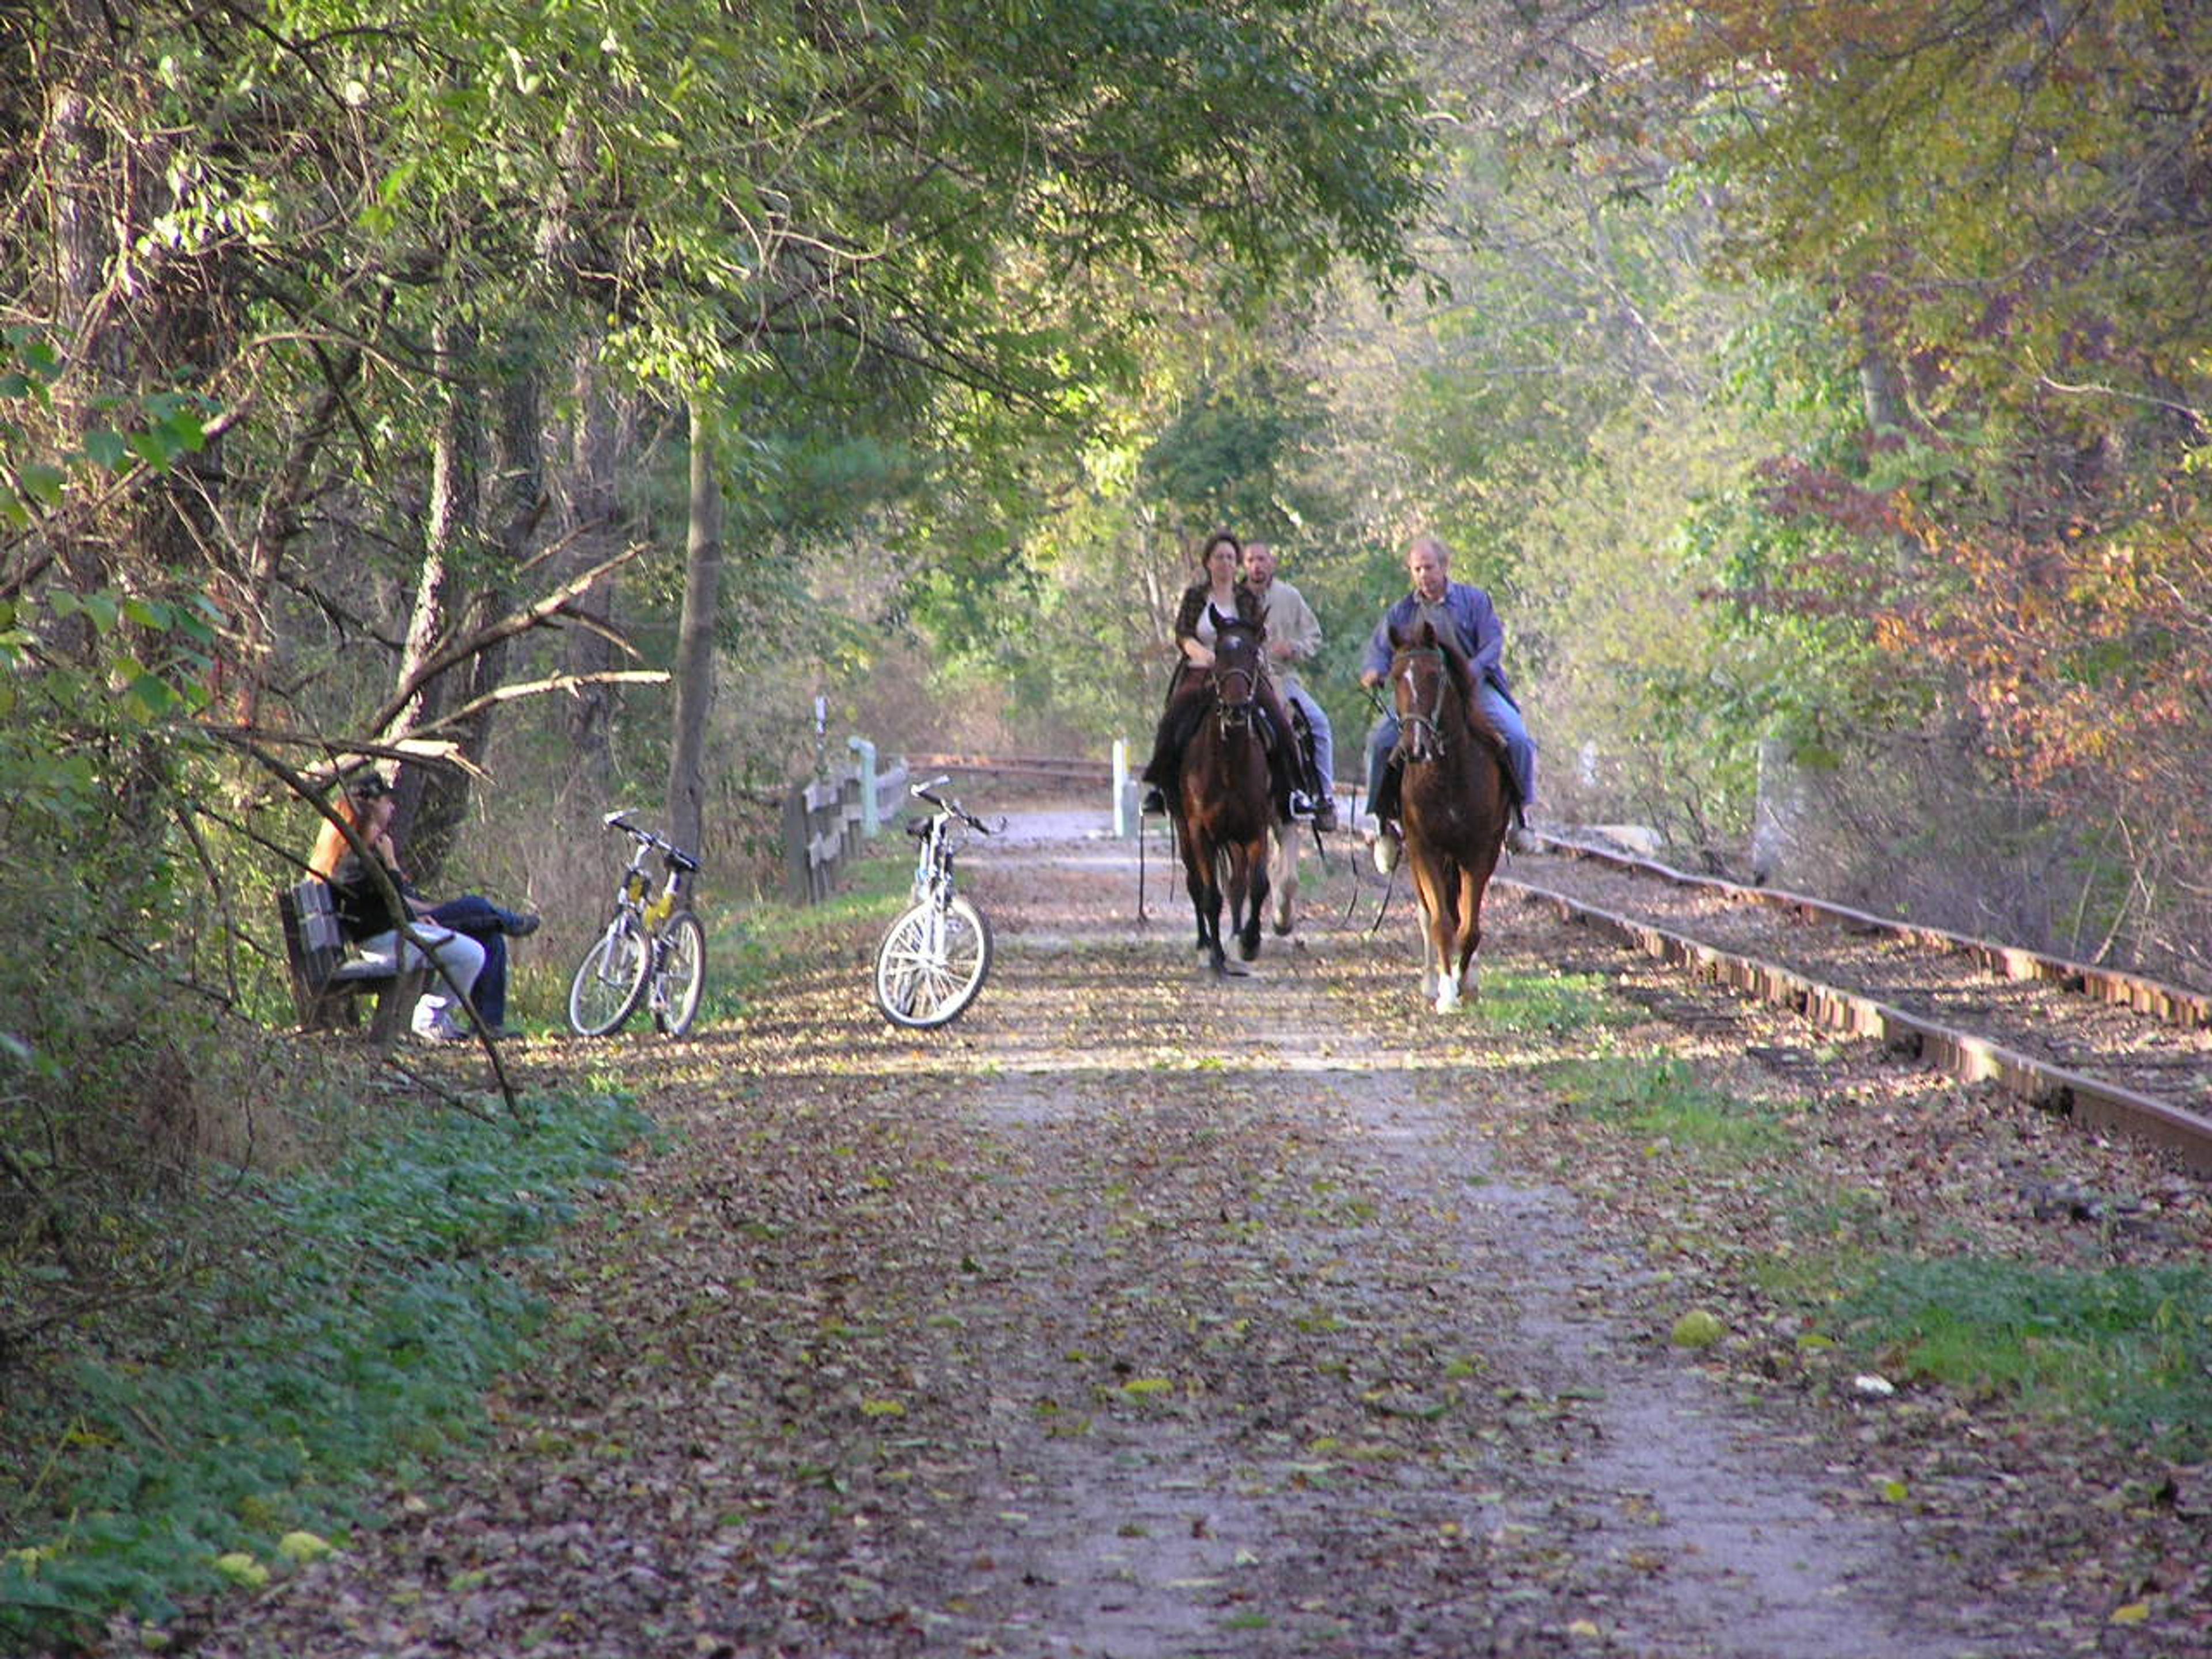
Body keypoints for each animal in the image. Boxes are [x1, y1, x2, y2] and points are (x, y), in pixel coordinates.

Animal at [1176, 610, 1283, 973]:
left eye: (1253, 652)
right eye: (1219, 653)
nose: (1236, 710)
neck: (1228, 765)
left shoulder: (1255, 829)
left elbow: (1258, 885)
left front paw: (1249, 942)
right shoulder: (1200, 832)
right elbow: (1210, 894)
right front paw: (1217, 957)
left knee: (1237, 883)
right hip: (1184, 833)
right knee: (1196, 885)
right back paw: (1203, 945)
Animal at [1389, 623, 1513, 1013]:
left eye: (1434, 676)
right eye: (1395, 677)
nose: (1414, 748)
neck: (1448, 773)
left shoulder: (1479, 852)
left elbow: (1468, 927)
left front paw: (1463, 982)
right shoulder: (1424, 848)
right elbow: (1441, 922)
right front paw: (1446, 992)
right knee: (1428, 914)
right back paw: (1431, 983)